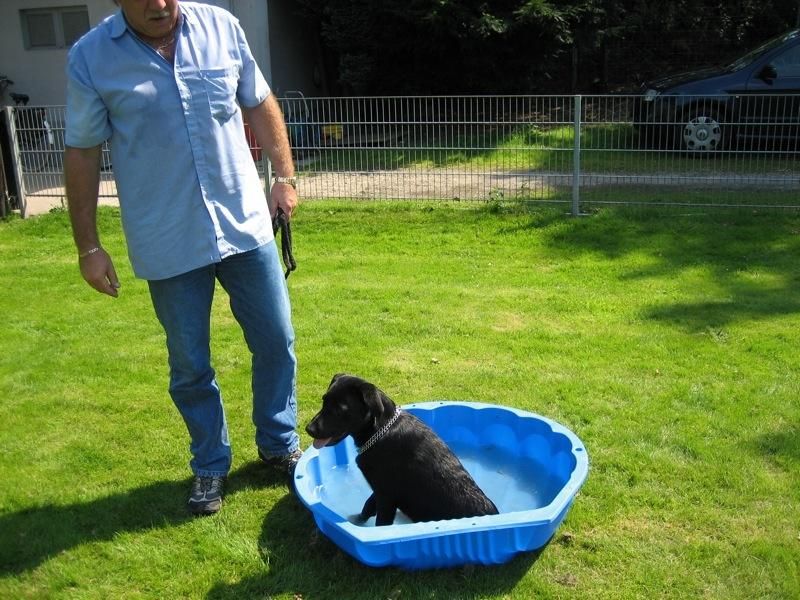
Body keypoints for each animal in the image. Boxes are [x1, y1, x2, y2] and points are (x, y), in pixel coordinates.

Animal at [306, 374, 499, 525]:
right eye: (324, 400)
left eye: (340, 409)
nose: (309, 429)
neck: (380, 431)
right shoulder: (381, 490)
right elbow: (368, 506)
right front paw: (357, 520)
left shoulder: (386, 496)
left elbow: (380, 521)